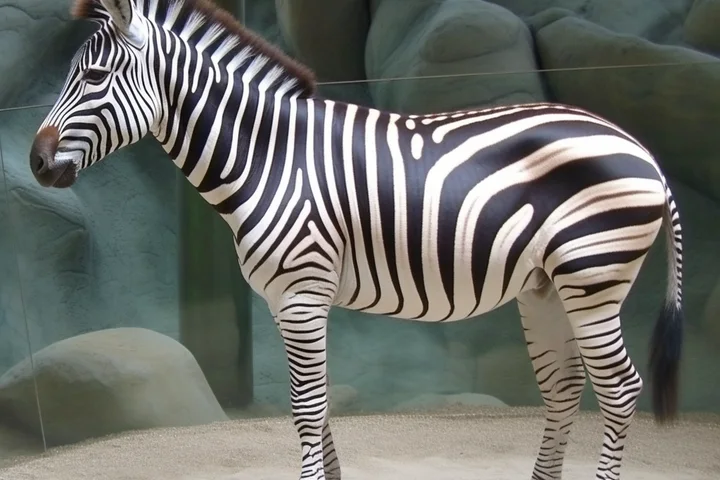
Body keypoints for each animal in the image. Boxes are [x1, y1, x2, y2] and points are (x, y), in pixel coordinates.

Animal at [28, 0, 684, 479]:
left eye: (93, 76)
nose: (35, 163)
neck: (271, 159)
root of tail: (641, 149)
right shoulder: (287, 301)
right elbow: (316, 406)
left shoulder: (301, 294)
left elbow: (306, 407)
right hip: (546, 287)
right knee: (565, 389)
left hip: (592, 276)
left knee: (619, 389)